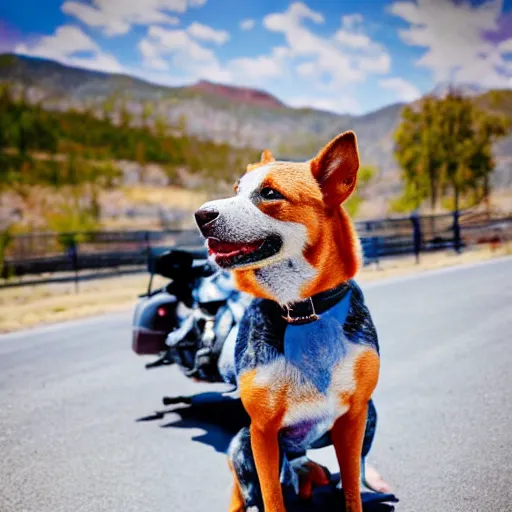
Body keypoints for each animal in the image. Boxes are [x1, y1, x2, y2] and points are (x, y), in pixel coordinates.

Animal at [194, 132, 382, 512]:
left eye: (269, 193)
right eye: (236, 189)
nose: (200, 214)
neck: (301, 310)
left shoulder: (354, 417)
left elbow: (352, 487)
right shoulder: (262, 431)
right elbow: (271, 497)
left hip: (371, 415)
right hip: (242, 447)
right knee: (250, 493)